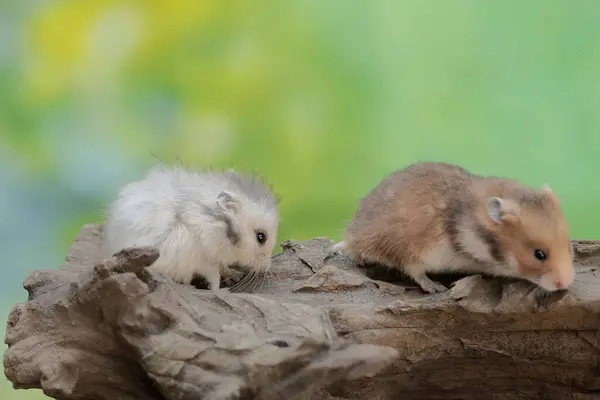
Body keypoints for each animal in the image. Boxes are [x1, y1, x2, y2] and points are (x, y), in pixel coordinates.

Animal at [102, 164, 280, 290]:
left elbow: (222, 267)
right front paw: (219, 290)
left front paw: (233, 275)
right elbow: (213, 275)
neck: (216, 225)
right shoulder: (201, 257)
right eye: (261, 237)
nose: (267, 269)